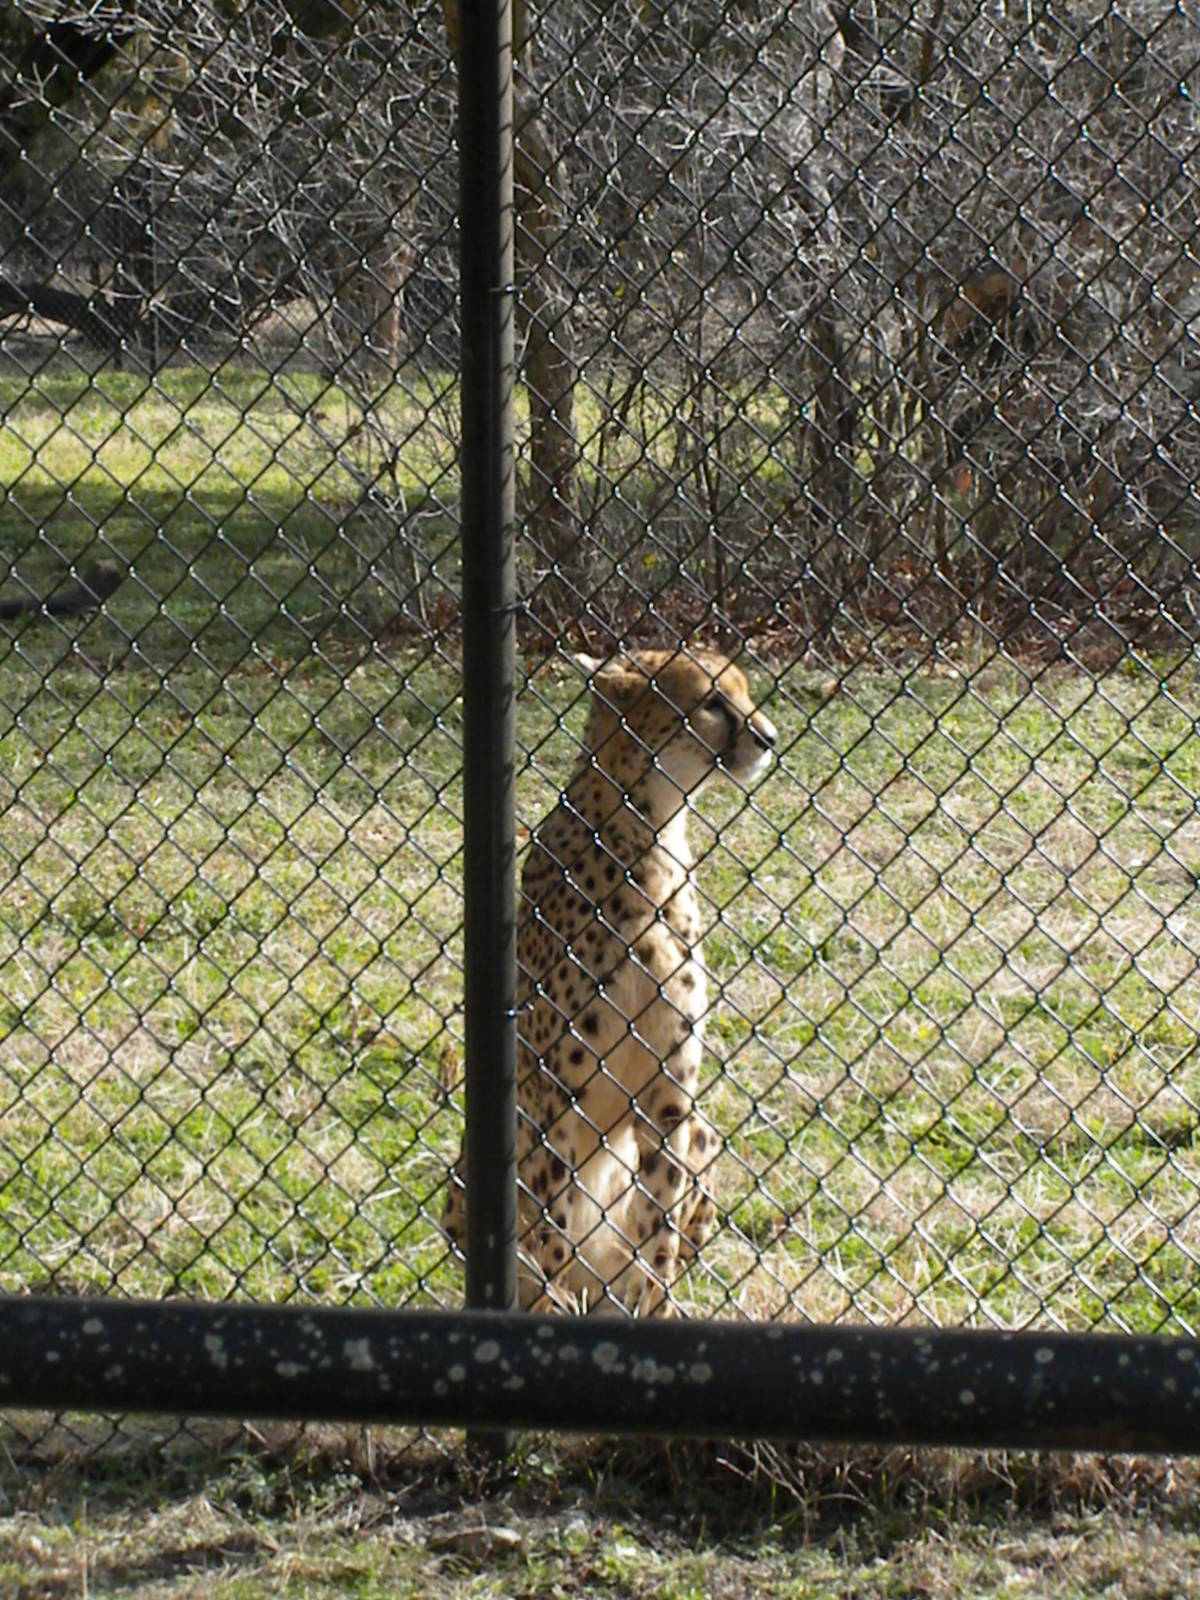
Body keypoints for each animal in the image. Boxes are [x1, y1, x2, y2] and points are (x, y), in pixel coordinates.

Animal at [443, 646, 778, 1315]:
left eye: (745, 691)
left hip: (703, 1134)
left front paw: (656, 1312)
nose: (769, 737)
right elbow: (552, 1226)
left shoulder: (671, 1105)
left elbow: (660, 1240)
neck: (650, 836)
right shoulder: (551, 1101)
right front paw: (547, 1313)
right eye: (712, 700)